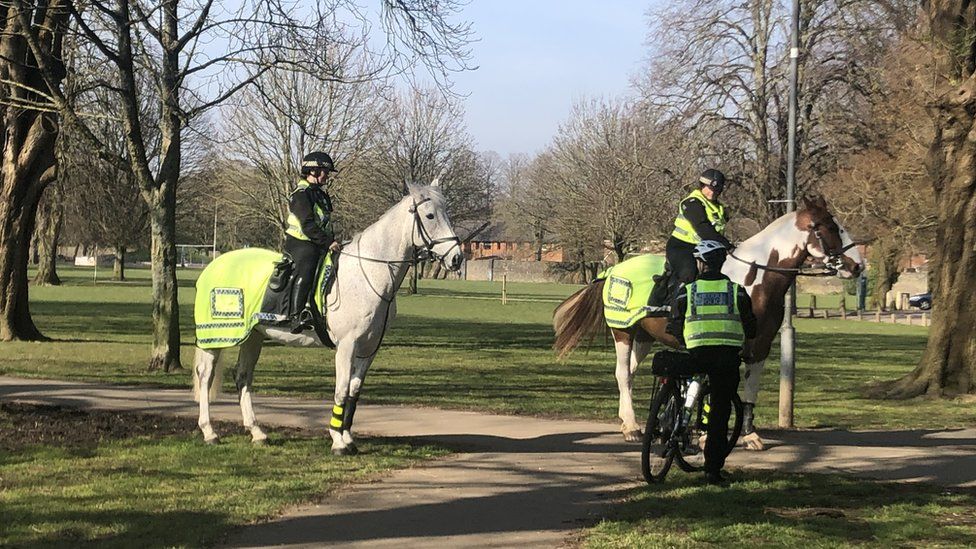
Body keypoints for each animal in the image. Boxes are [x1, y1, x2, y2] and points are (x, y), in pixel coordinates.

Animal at [194, 180, 466, 454]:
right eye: (430, 215)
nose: (456, 258)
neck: (368, 272)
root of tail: (214, 265)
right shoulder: (347, 345)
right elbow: (341, 390)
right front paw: (337, 441)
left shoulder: (369, 349)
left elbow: (353, 392)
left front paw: (348, 437)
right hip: (215, 337)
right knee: (205, 376)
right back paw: (209, 432)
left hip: (253, 336)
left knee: (243, 377)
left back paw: (257, 432)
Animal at [552, 197, 864, 450]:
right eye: (829, 227)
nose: (857, 266)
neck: (754, 280)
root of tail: (613, 269)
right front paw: (705, 434)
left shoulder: (759, 347)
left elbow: (750, 390)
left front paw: (749, 434)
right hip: (623, 332)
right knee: (622, 374)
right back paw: (630, 427)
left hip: (643, 337)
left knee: (628, 373)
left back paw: (627, 422)